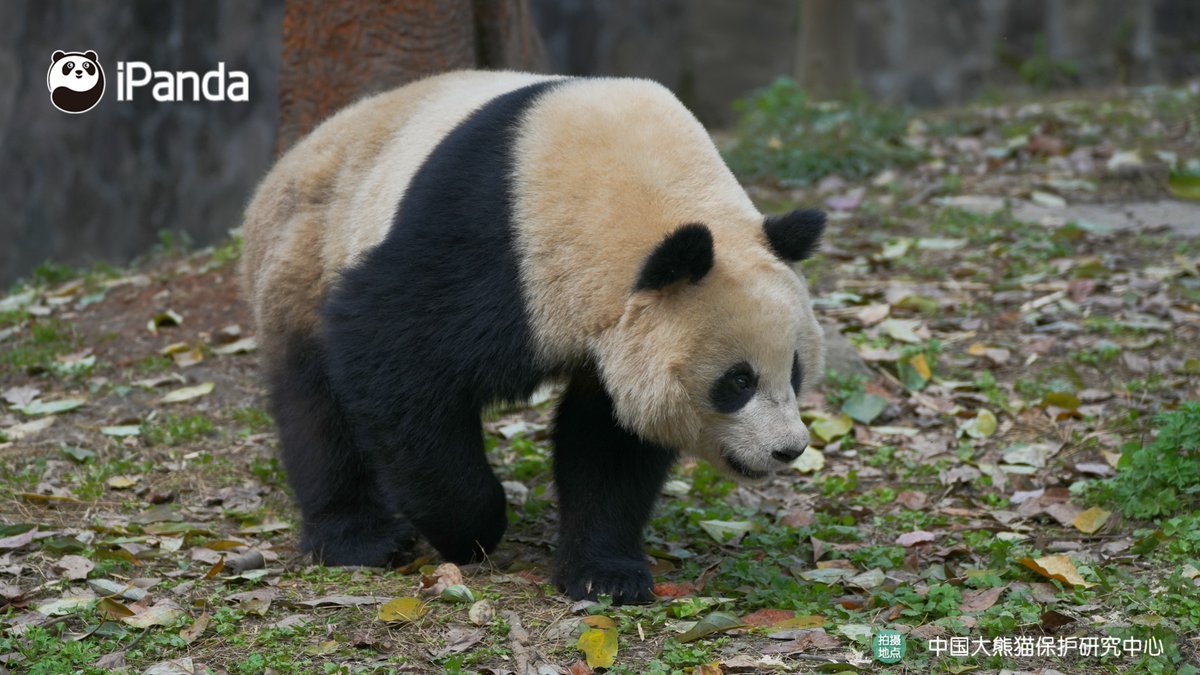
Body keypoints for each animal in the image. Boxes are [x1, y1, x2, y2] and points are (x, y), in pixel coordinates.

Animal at [241, 71, 826, 604]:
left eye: (795, 370)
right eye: (738, 381)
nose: (788, 449)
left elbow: (608, 441)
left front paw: (604, 574)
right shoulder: (492, 243)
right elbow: (391, 349)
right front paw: (471, 529)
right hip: (309, 249)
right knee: (316, 405)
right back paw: (361, 538)